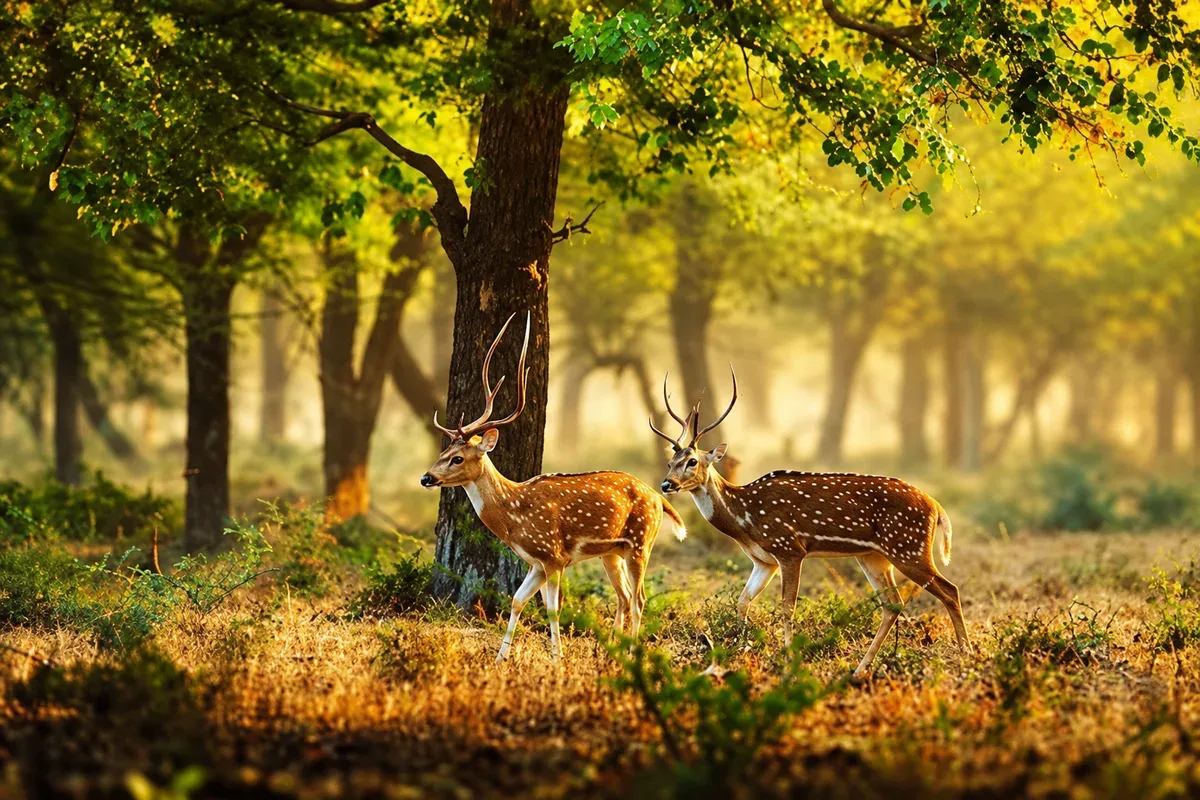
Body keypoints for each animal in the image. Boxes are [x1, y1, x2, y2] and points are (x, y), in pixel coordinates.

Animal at [420, 313, 687, 663]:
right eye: (443, 452)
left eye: (458, 458)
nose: (426, 478)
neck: (514, 517)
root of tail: (659, 497)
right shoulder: (536, 561)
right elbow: (517, 600)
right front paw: (500, 658)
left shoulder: (553, 554)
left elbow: (552, 609)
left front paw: (557, 659)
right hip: (612, 552)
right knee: (627, 596)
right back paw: (613, 652)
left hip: (641, 542)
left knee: (640, 598)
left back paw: (630, 654)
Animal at [650, 367, 971, 680]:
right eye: (670, 462)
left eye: (692, 461)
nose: (666, 484)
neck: (745, 520)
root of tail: (936, 506)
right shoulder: (763, 560)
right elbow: (743, 600)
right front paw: (741, 652)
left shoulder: (789, 548)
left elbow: (786, 606)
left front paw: (787, 659)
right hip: (874, 556)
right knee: (893, 604)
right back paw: (860, 669)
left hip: (908, 547)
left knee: (950, 590)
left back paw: (966, 655)